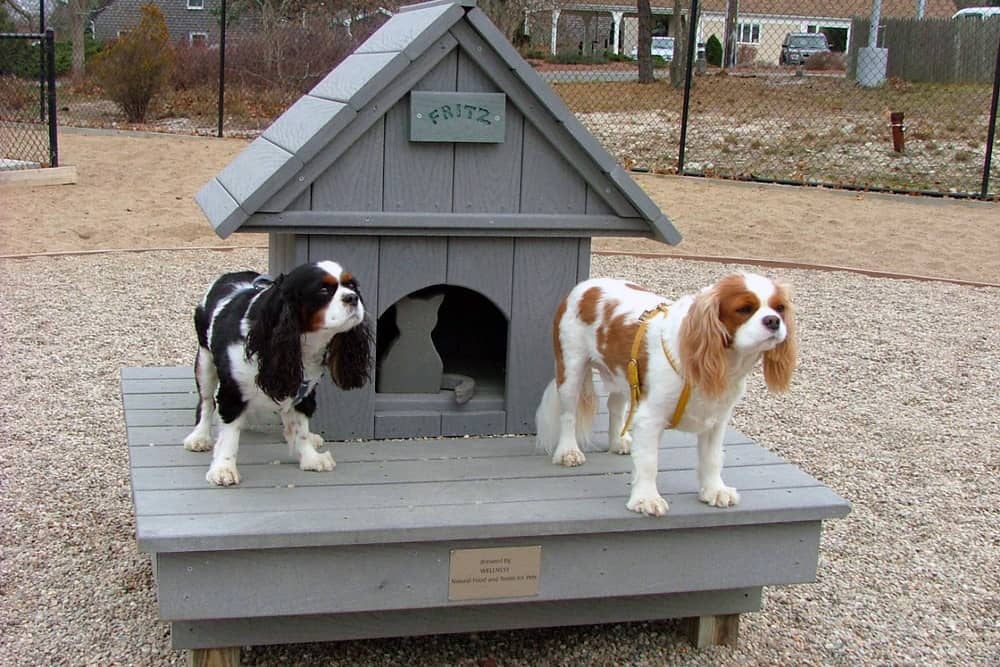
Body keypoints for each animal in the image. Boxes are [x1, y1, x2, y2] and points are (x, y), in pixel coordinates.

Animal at [183, 260, 372, 486]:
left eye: (352, 286)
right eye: (323, 290)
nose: (352, 297)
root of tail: (230, 275)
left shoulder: (304, 390)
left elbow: (300, 427)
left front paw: (310, 457)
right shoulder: (232, 392)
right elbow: (229, 435)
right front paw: (224, 468)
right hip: (205, 361)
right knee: (206, 401)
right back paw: (199, 437)